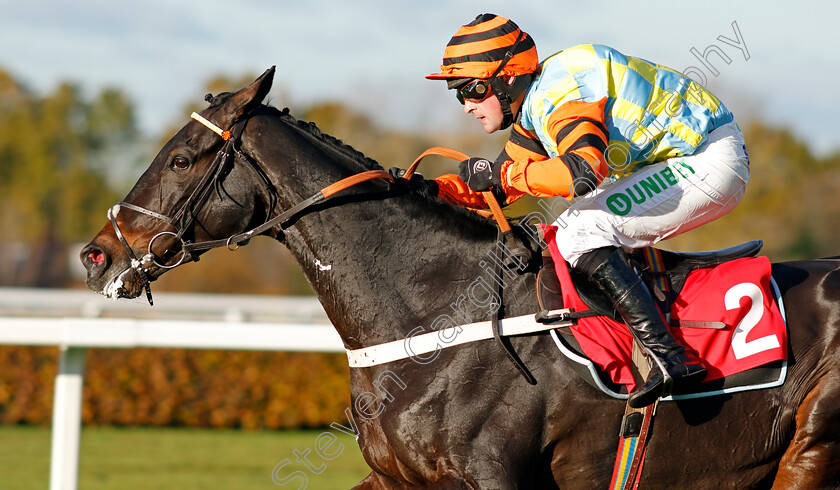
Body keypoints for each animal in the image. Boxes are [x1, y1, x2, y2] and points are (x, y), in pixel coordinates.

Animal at [82, 67, 840, 488]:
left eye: (182, 158)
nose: (98, 255)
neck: (435, 310)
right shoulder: (399, 477)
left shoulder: (495, 477)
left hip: (811, 448)